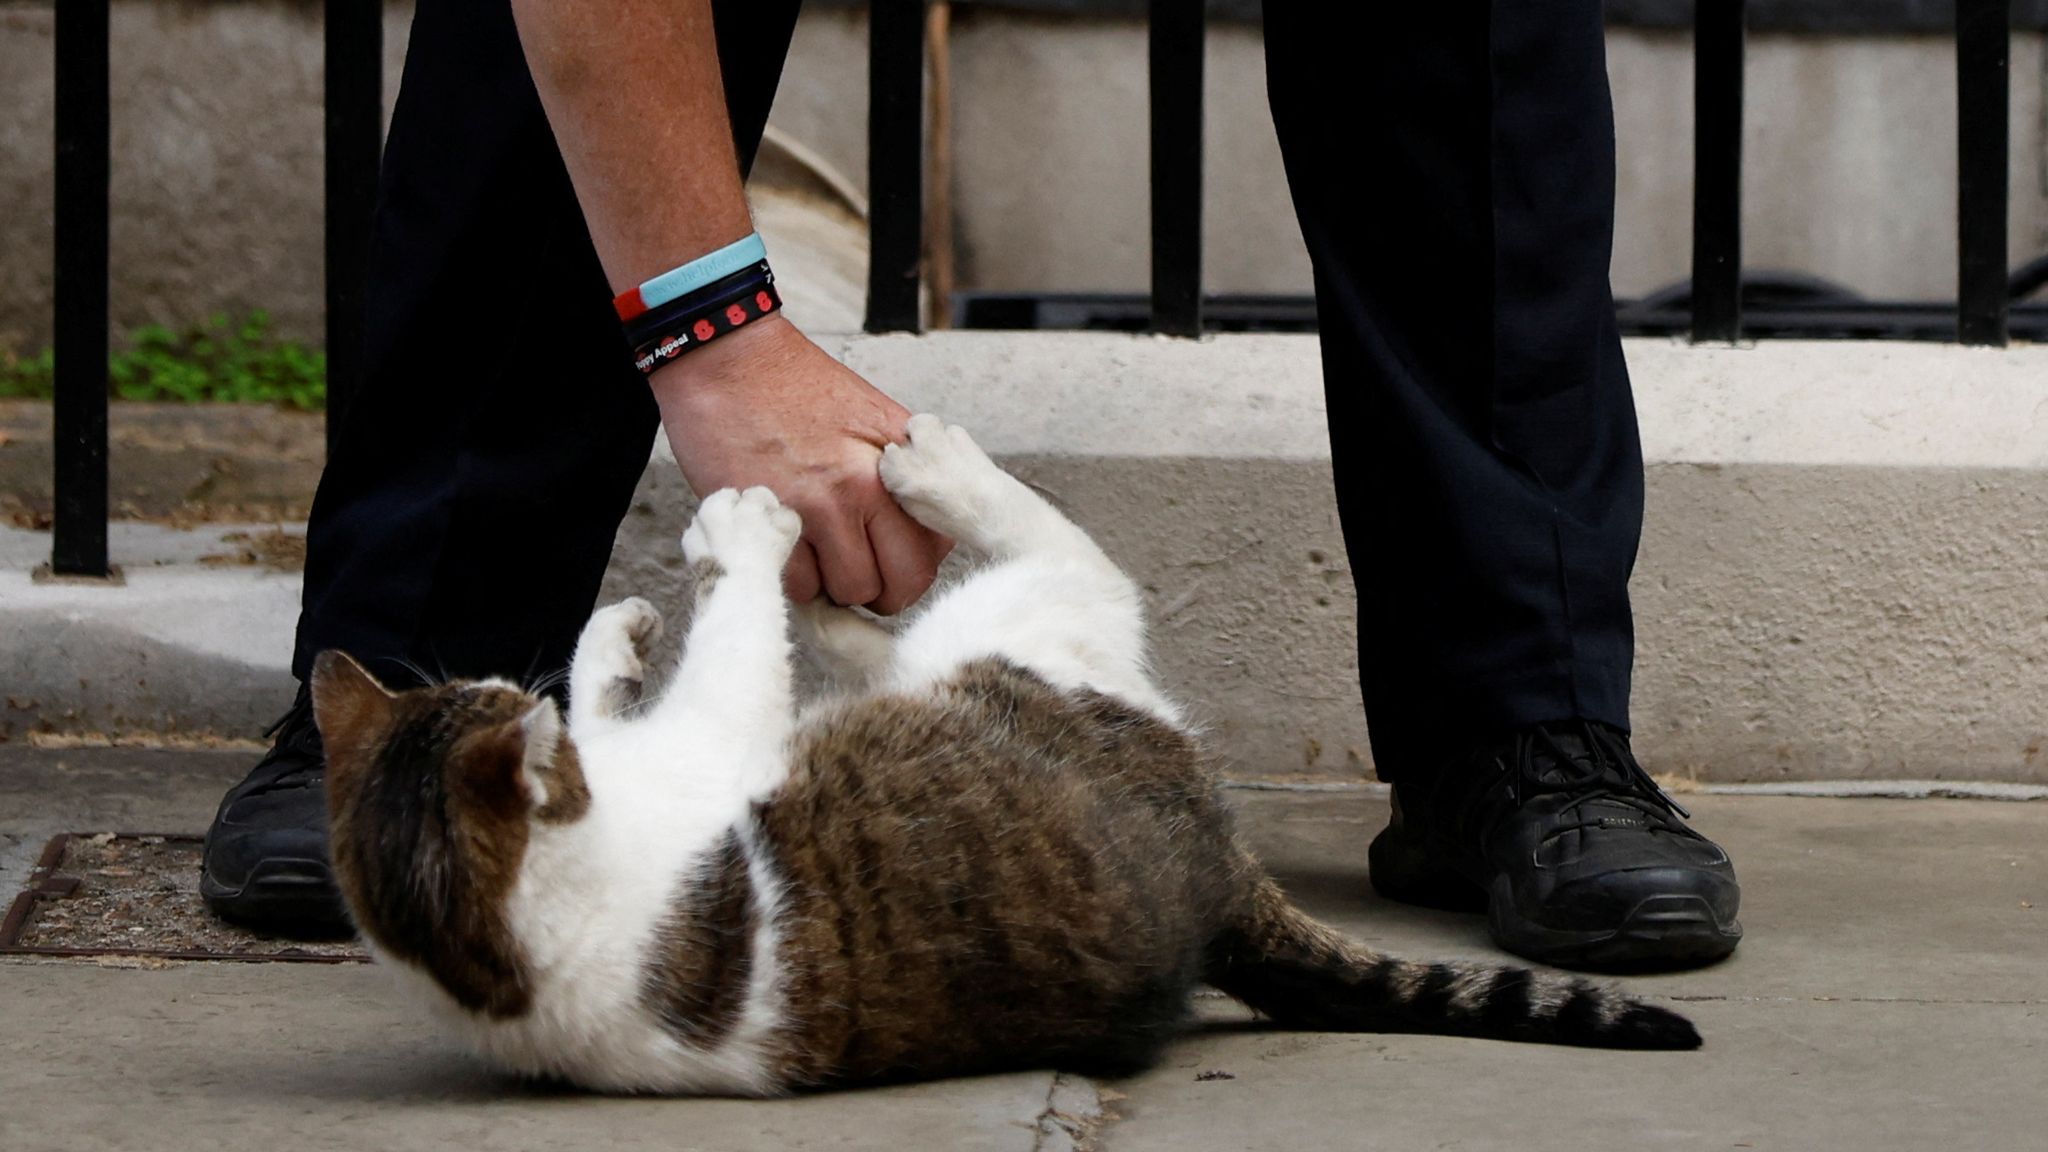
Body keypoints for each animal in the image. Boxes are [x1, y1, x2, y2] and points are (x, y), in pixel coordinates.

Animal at [307, 414, 1695, 1090]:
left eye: (477, 686)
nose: (504, 681)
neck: (500, 944)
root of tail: (1221, 885)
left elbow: (633, 694)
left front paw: (614, 635)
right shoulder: (705, 748)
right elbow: (733, 650)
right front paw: (735, 547)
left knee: (912, 638)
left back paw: (845, 584)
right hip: (1034, 644)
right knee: (1043, 561)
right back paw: (909, 484)